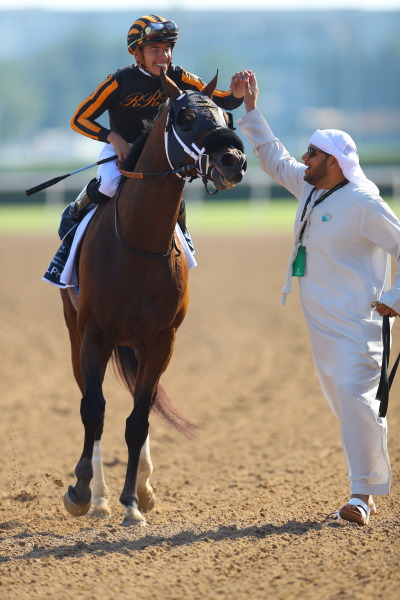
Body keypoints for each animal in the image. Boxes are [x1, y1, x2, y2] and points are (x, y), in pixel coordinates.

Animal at [59, 70, 247, 528]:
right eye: (185, 118)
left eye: (226, 116)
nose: (233, 160)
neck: (140, 244)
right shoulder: (95, 335)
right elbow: (94, 410)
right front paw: (83, 492)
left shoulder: (161, 341)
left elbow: (139, 418)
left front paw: (132, 499)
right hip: (76, 334)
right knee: (91, 403)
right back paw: (98, 496)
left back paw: (140, 490)